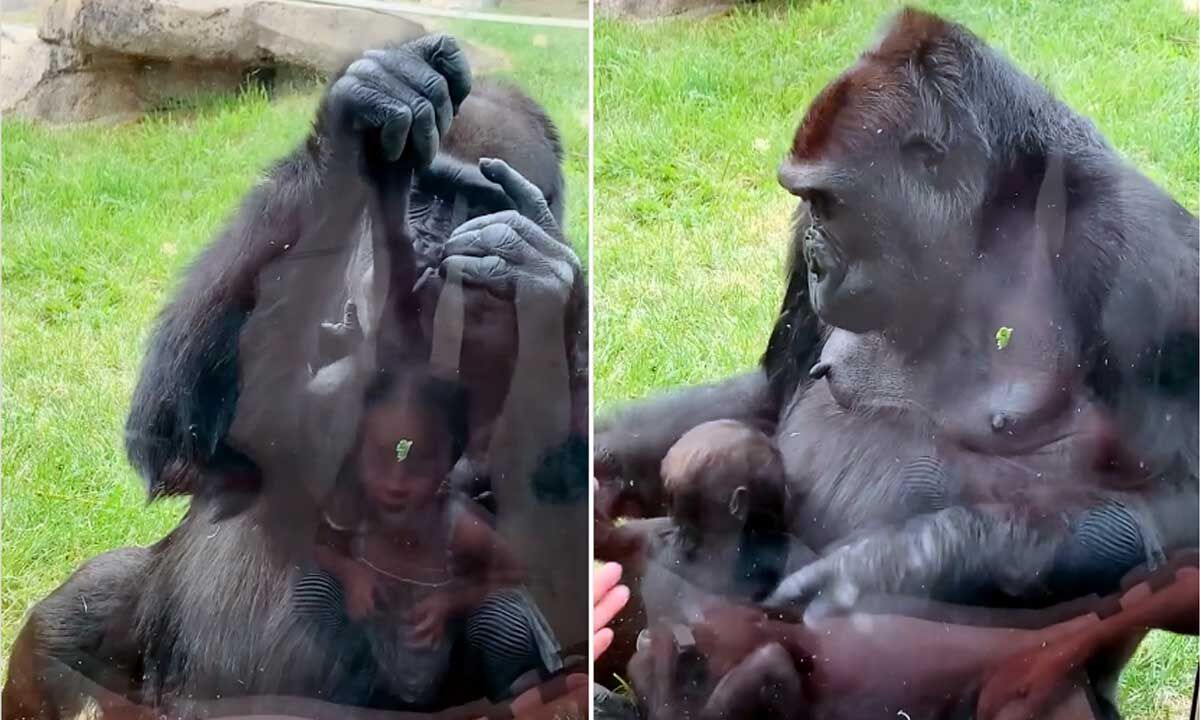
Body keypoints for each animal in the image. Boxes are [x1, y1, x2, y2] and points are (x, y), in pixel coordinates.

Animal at [7, 35, 588, 720]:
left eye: (479, 206)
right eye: (427, 196)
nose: (427, 242)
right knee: (75, 614)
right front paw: (355, 122)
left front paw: (541, 281)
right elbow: (182, 432)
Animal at [595, 7, 1195, 720]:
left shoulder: (1147, 256)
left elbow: (1176, 510)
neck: (995, 208)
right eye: (807, 205)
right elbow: (772, 396)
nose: (816, 255)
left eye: (830, 203)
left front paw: (889, 562)